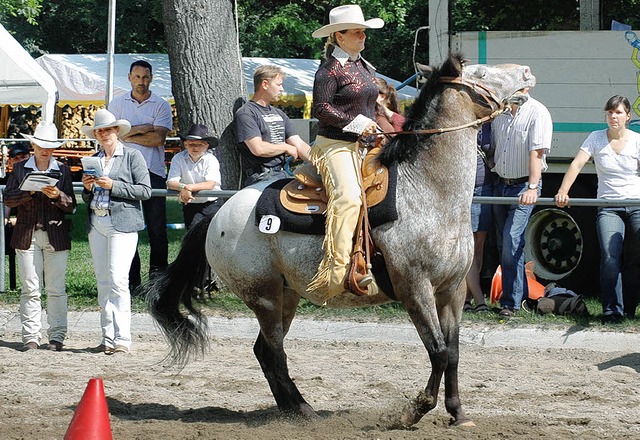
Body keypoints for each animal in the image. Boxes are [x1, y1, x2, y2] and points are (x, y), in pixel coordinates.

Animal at [144, 53, 536, 428]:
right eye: (481, 74)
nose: (527, 72)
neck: (427, 190)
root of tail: (219, 212)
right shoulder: (415, 288)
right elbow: (437, 351)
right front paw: (412, 412)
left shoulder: (452, 290)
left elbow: (453, 352)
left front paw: (458, 413)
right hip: (264, 296)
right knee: (274, 352)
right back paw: (304, 411)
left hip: (286, 295)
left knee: (264, 351)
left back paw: (292, 409)